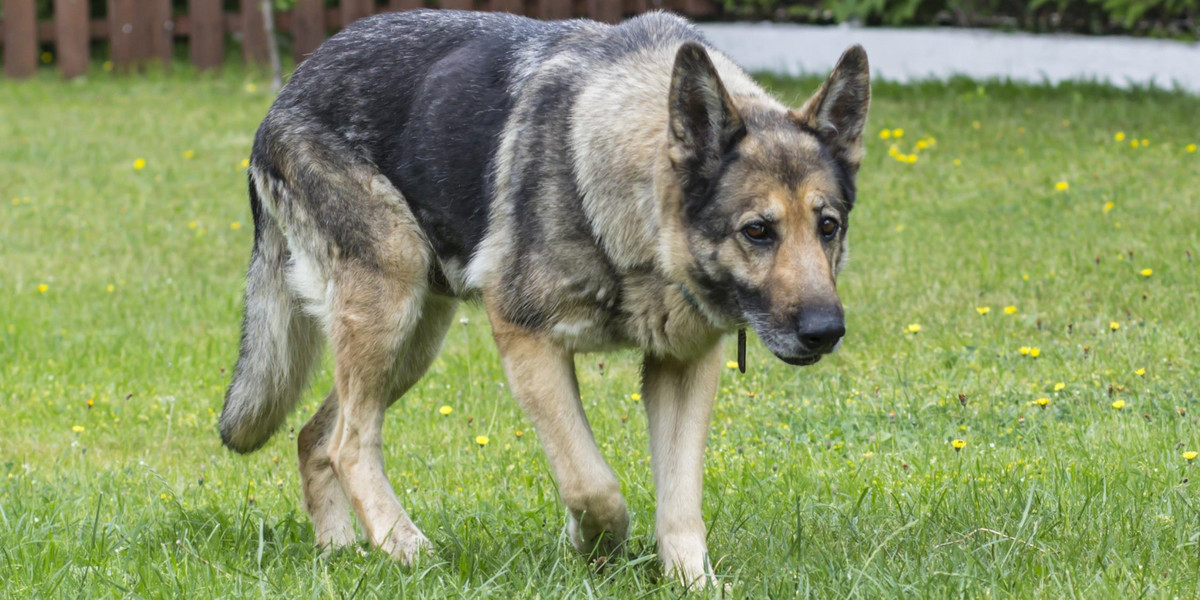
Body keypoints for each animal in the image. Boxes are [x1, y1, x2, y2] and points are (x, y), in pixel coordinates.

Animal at [220, 7, 868, 583]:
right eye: (757, 231)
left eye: (828, 227)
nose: (826, 332)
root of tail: (296, 80)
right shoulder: (528, 343)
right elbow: (592, 483)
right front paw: (593, 545)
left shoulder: (685, 367)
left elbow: (680, 502)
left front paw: (692, 583)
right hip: (390, 301)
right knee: (350, 444)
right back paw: (405, 548)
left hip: (414, 341)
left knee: (316, 437)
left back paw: (343, 552)